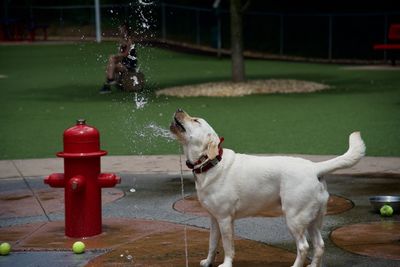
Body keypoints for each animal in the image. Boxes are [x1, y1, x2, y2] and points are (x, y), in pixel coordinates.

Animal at [169, 109, 366, 267]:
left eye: (196, 120)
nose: (178, 109)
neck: (210, 162)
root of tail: (315, 167)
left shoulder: (225, 219)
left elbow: (227, 245)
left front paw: (226, 264)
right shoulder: (214, 218)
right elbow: (212, 243)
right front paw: (208, 262)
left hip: (294, 218)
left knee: (303, 247)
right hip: (313, 220)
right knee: (319, 246)